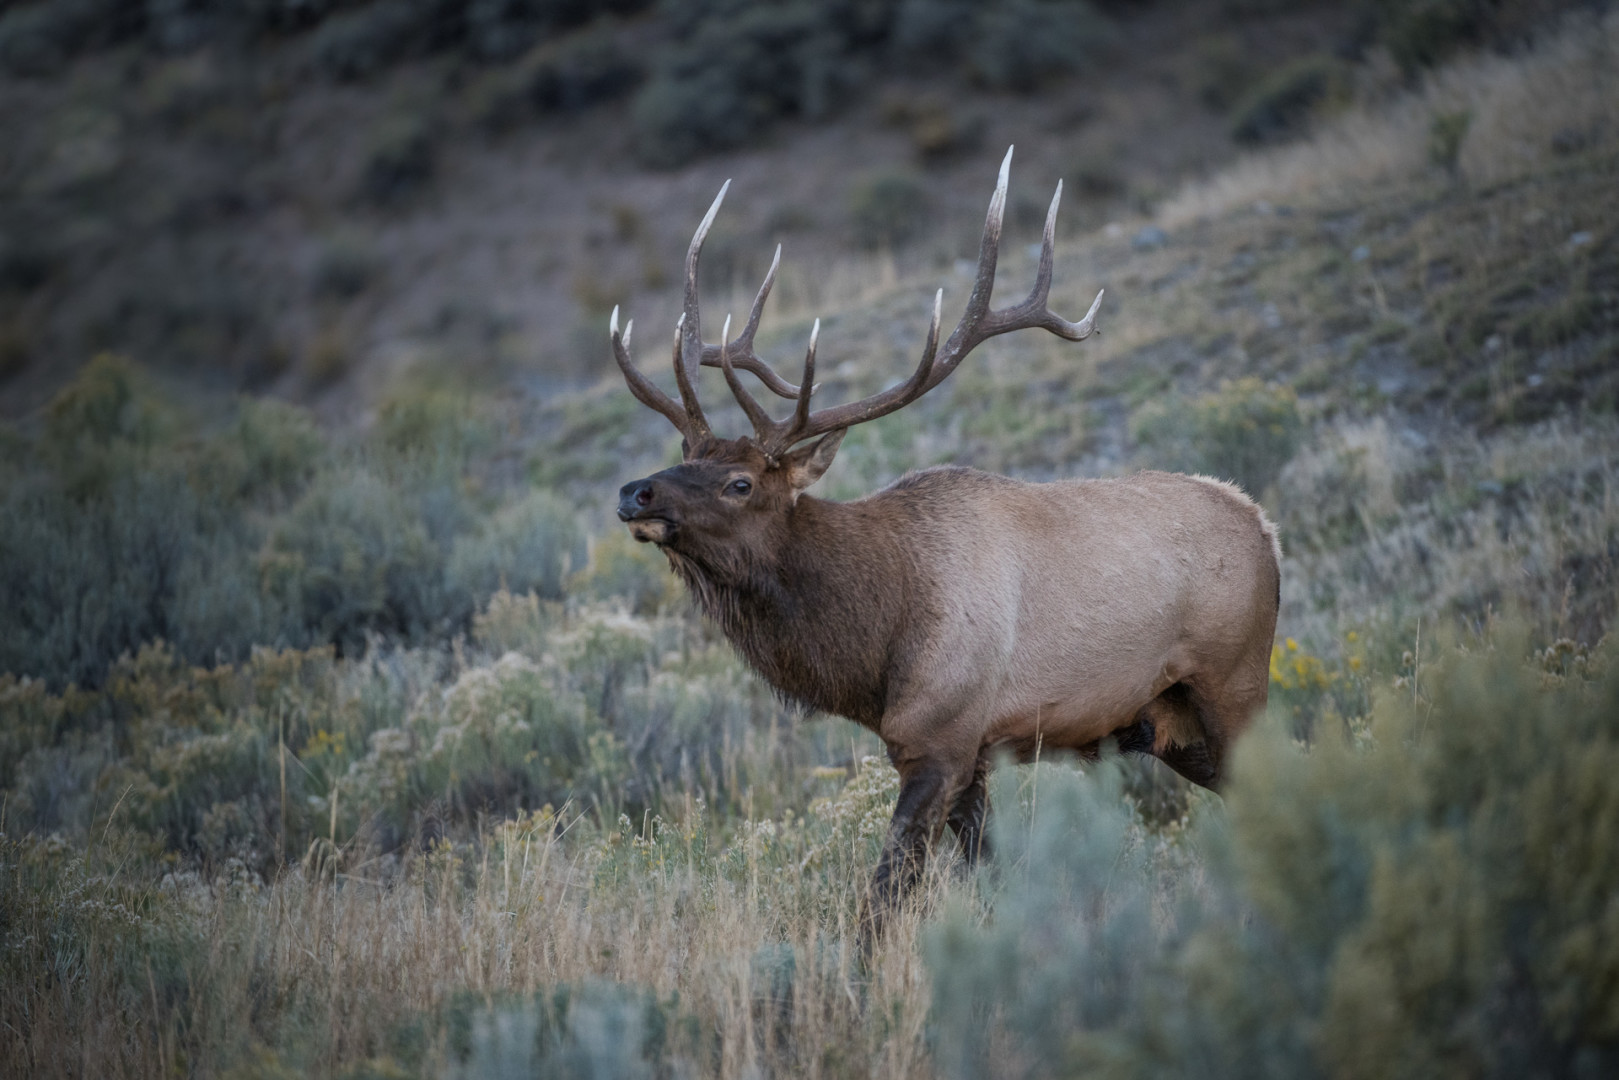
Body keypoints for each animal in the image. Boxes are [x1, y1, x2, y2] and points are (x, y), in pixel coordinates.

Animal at [609, 147, 1281, 937]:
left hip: (1234, 679)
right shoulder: (970, 754)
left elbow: (884, 895)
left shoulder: (940, 737)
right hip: (1173, 721)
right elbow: (991, 876)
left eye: (740, 483)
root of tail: (1265, 527)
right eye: (684, 453)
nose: (635, 493)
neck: (874, 644)